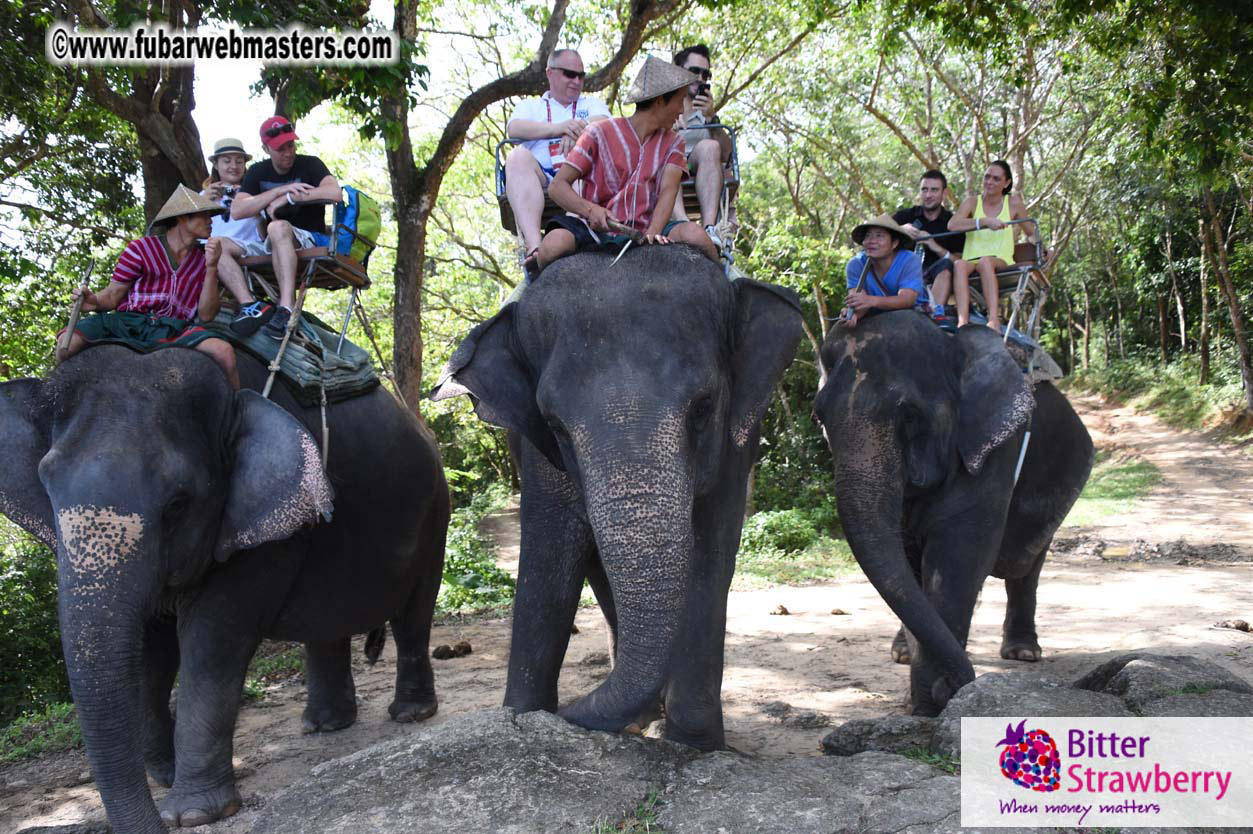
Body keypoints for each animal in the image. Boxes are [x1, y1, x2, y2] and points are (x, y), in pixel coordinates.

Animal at [0, 344, 449, 833]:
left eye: (177, 504)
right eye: (47, 487)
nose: (162, 812)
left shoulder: (260, 531)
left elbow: (213, 640)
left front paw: (193, 813)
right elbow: (150, 650)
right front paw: (167, 777)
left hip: (435, 513)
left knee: (413, 615)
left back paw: (410, 714)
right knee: (326, 624)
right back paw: (324, 725)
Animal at [432, 246, 802, 750]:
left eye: (704, 407)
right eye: (556, 426)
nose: (566, 713)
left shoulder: (737, 440)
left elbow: (712, 549)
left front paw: (694, 743)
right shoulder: (536, 452)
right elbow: (551, 546)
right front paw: (520, 720)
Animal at [813, 311, 1093, 715]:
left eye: (910, 416)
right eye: (819, 417)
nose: (950, 686)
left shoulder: (994, 449)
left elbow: (957, 556)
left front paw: (931, 704)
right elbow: (911, 562)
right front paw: (925, 697)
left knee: (1026, 565)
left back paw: (1023, 653)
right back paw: (903, 653)